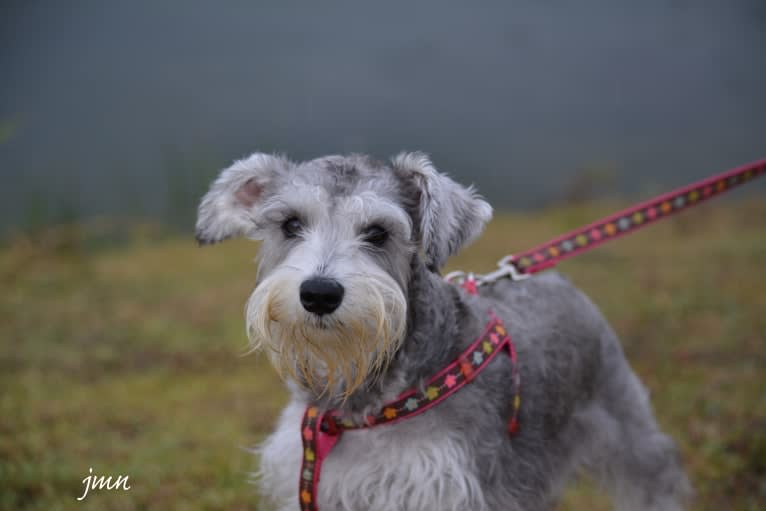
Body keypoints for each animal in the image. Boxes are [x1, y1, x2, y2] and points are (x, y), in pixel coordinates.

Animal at [195, 152, 692, 511]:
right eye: (291, 224)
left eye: (378, 232)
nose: (319, 293)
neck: (364, 406)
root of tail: (557, 279)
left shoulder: (445, 488)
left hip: (628, 433)